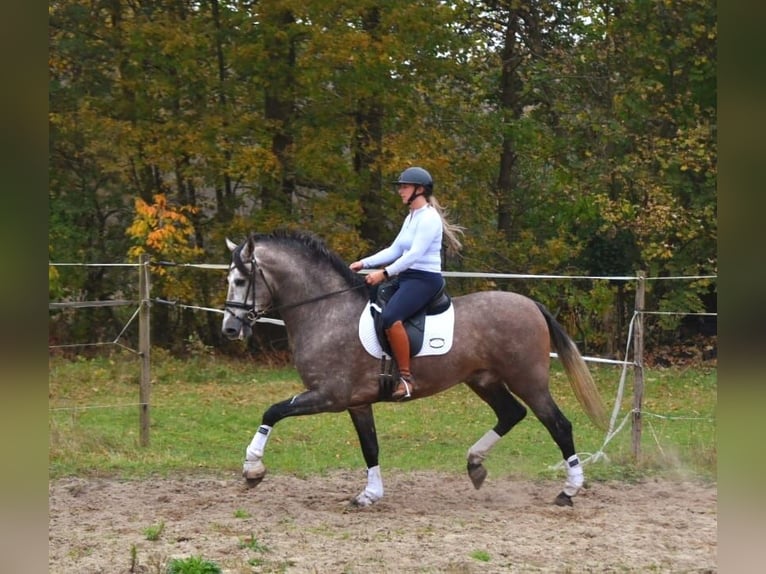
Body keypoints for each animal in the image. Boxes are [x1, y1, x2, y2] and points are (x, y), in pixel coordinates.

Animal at [220, 230, 608, 508]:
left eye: (240, 281)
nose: (230, 329)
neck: (327, 311)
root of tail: (531, 305)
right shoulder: (357, 402)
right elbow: (370, 447)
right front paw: (369, 495)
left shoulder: (329, 396)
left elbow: (273, 411)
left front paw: (252, 469)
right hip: (484, 380)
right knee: (512, 414)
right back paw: (475, 465)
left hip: (528, 380)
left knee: (558, 425)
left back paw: (568, 491)